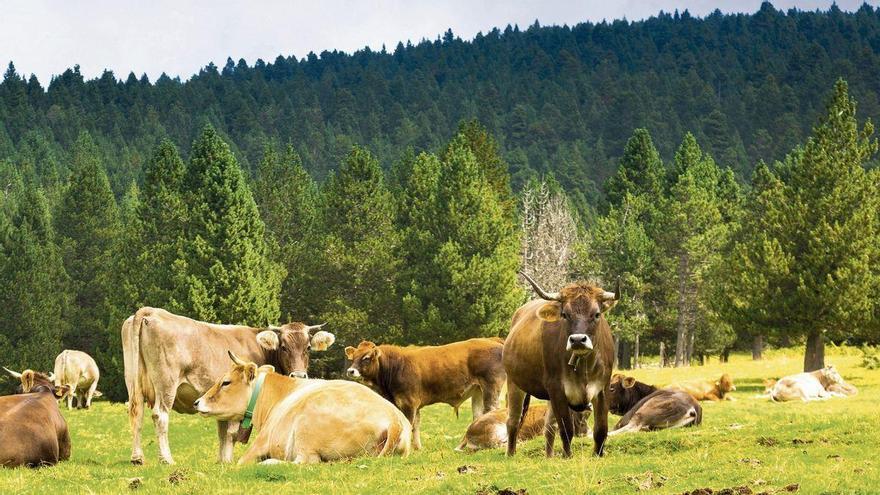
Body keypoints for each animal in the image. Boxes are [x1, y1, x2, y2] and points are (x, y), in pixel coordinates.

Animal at [120, 308, 334, 466]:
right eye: (283, 347)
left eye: (308, 348)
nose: (299, 375)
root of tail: (150, 311)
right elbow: (231, 433)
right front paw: (228, 460)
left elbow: (222, 432)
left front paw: (222, 460)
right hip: (166, 383)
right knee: (160, 416)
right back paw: (166, 459)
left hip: (133, 382)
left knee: (136, 413)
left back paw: (137, 458)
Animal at [192, 352, 410, 464]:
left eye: (226, 382)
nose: (197, 402)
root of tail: (394, 419)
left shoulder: (261, 442)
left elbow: (240, 462)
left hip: (306, 428)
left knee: (304, 461)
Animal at [346, 340, 506, 452]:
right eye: (353, 358)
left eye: (366, 357)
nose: (350, 371)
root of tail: (494, 341)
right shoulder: (413, 405)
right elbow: (416, 425)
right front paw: (418, 448)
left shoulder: (408, 403)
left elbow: (409, 425)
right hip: (478, 391)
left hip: (491, 387)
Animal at [502, 274, 620, 460]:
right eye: (565, 314)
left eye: (596, 314)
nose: (578, 340)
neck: (583, 367)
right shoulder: (556, 388)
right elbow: (566, 428)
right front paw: (567, 455)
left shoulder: (602, 388)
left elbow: (601, 428)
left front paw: (598, 454)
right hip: (514, 382)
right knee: (513, 420)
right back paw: (511, 453)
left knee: (549, 426)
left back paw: (549, 456)